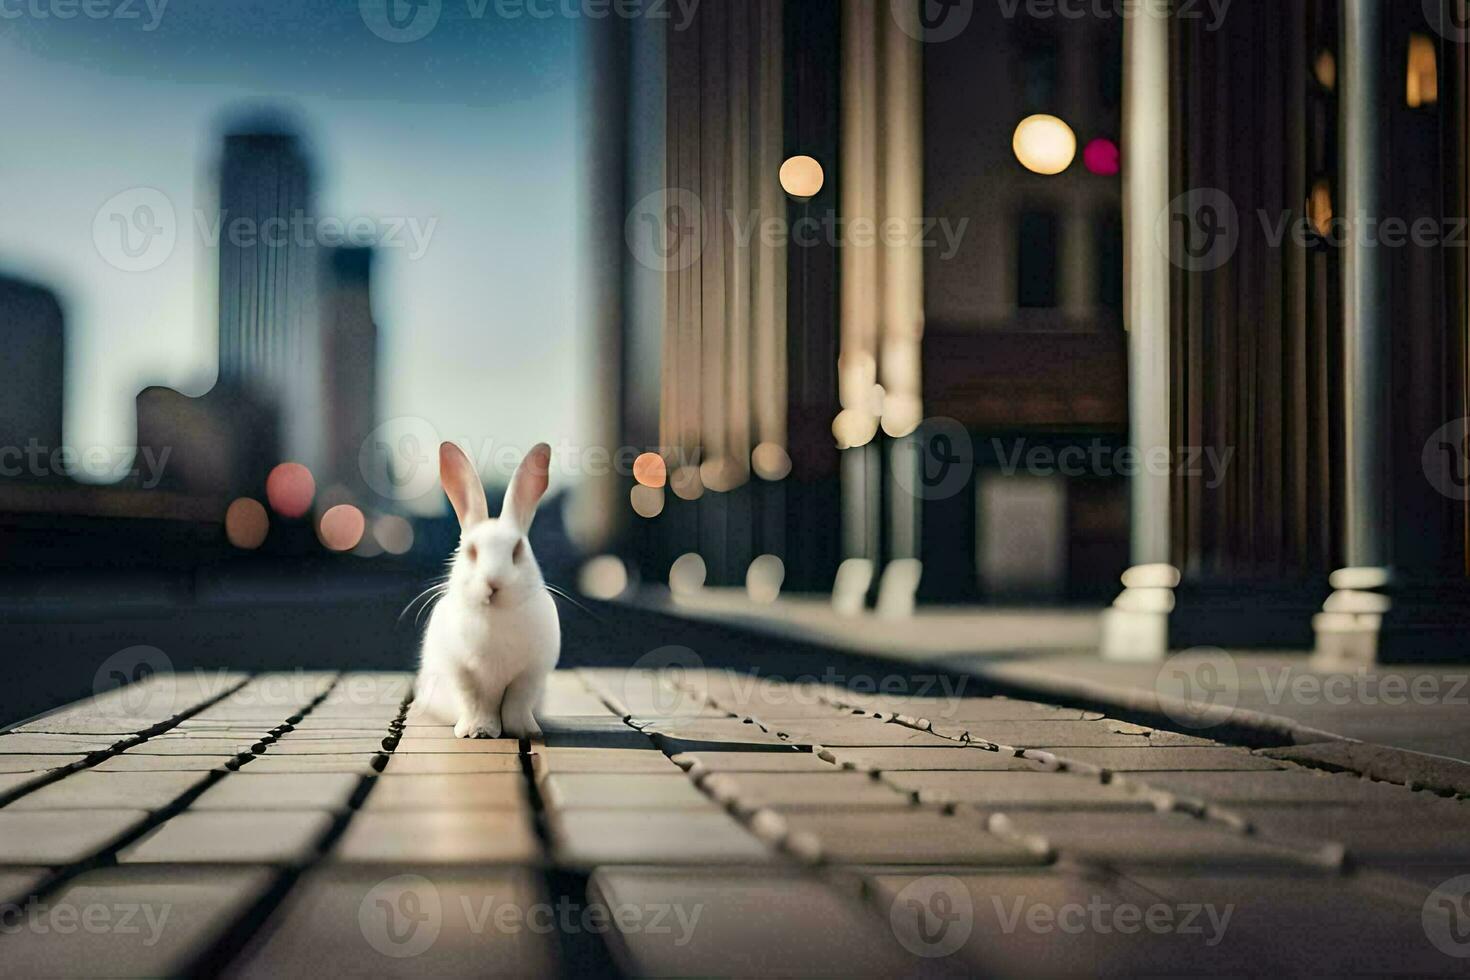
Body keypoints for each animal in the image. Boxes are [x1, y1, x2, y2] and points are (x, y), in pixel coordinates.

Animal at [417, 443, 558, 734]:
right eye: (471, 551)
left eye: (517, 550)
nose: (494, 583)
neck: (495, 617)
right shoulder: (460, 672)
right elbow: (474, 701)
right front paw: (477, 731)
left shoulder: (530, 674)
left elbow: (517, 703)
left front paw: (524, 731)